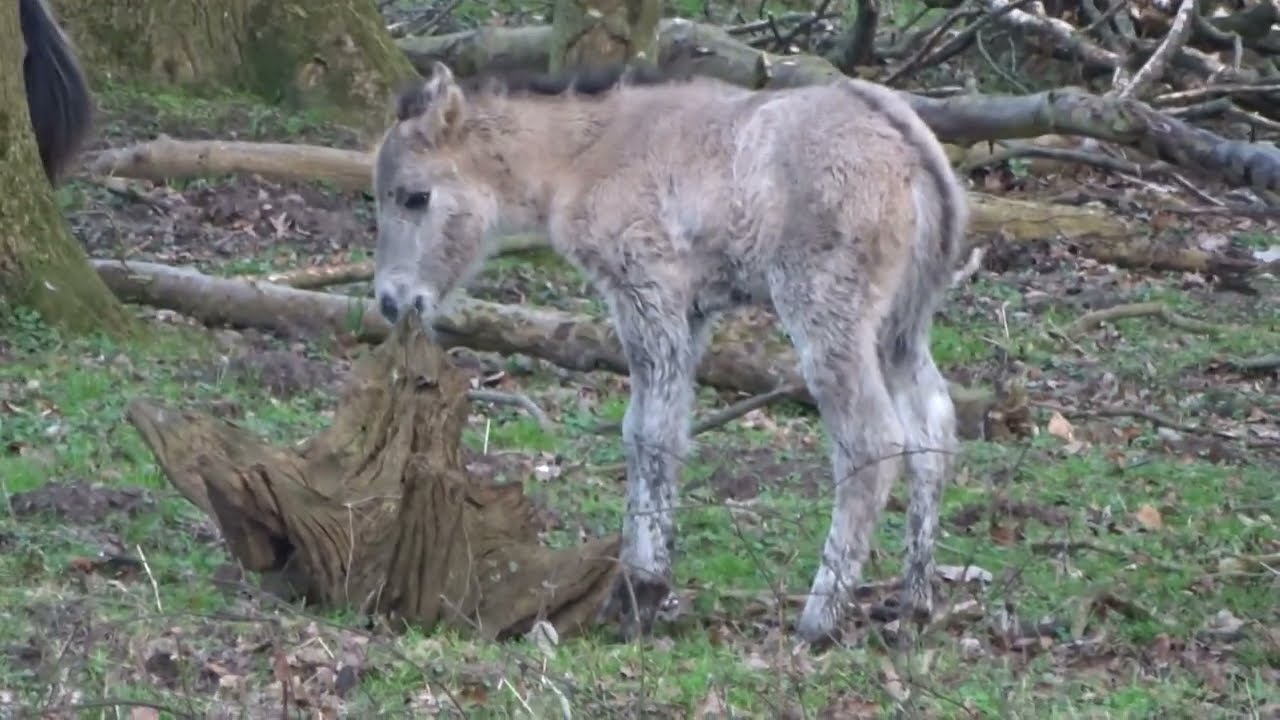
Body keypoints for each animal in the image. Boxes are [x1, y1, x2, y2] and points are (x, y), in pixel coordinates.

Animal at [370, 60, 970, 643]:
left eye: (416, 196)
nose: (392, 301)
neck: (590, 153)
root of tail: (913, 152)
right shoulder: (694, 312)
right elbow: (659, 428)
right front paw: (638, 589)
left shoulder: (646, 291)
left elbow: (649, 434)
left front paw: (641, 592)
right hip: (901, 329)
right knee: (933, 430)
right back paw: (914, 604)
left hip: (827, 313)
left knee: (870, 444)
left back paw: (819, 619)